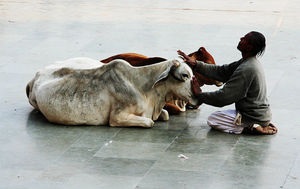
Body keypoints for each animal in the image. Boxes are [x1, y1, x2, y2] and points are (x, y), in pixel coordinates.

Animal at [26, 56, 199, 127]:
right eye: (185, 75)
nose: (197, 98)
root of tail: (35, 77)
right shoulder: (117, 117)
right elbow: (149, 122)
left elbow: (166, 114)